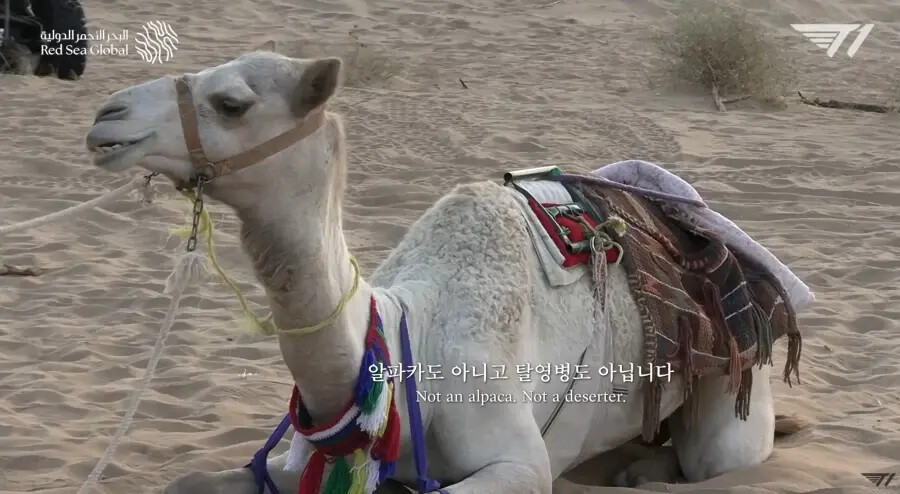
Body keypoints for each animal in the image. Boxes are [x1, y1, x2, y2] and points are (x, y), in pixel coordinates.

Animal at [84, 43, 806, 494]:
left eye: (231, 102)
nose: (105, 116)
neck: (411, 339)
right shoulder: (304, 459)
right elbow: (188, 480)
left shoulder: (517, 460)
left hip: (736, 390)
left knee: (719, 457)